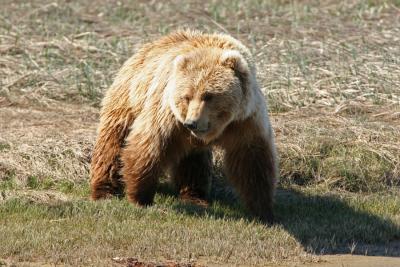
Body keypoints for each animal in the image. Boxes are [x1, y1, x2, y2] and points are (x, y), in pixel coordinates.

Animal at [90, 30, 278, 224]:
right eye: (187, 96)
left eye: (208, 95)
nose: (191, 122)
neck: (219, 126)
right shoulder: (168, 115)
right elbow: (149, 146)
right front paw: (139, 197)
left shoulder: (245, 121)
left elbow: (252, 162)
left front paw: (264, 211)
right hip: (128, 98)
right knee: (112, 144)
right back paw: (103, 191)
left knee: (193, 163)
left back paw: (194, 197)